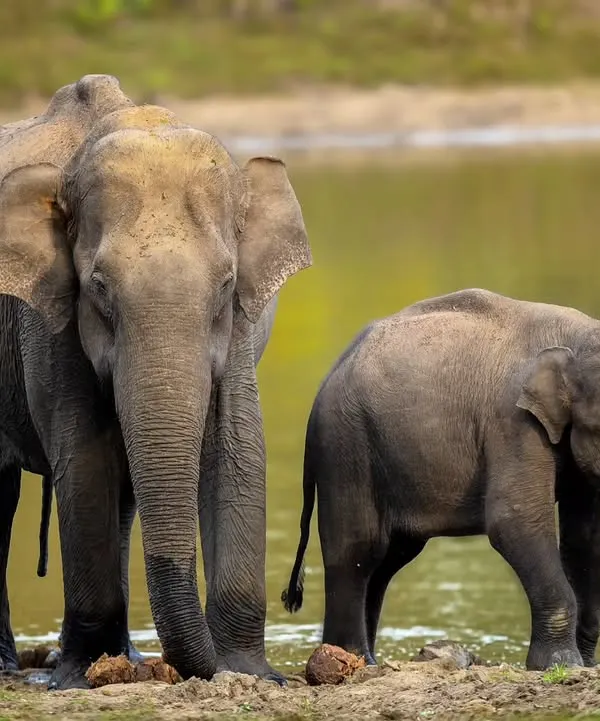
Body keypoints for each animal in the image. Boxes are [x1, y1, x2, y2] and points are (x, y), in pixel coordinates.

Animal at [0, 74, 311, 688]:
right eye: (98, 286)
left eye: (226, 283)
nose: (199, 669)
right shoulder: (44, 317)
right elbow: (84, 457)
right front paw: (79, 677)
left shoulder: (238, 328)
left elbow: (237, 448)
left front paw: (250, 674)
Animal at [283, 288, 600, 671]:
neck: (578, 336)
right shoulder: (514, 422)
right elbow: (514, 520)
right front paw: (560, 666)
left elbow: (582, 536)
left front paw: (585, 665)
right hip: (346, 445)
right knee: (359, 551)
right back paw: (355, 659)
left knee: (388, 558)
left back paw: (366, 660)